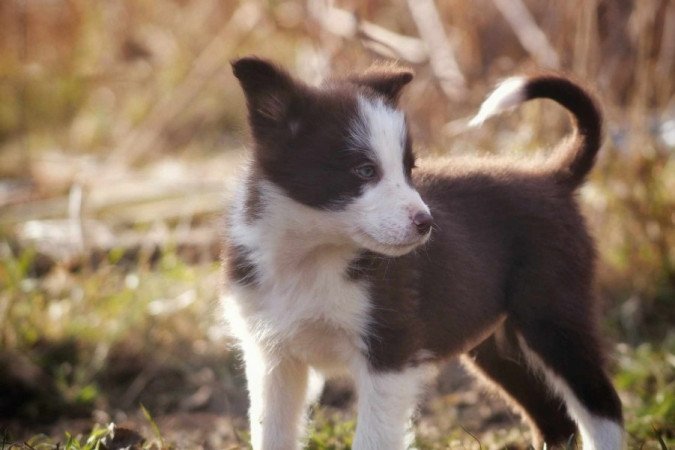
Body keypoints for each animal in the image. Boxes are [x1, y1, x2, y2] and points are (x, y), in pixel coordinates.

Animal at [224, 57, 624, 450]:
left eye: (409, 169)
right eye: (364, 170)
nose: (427, 223)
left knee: (602, 406)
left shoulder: (390, 353)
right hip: (495, 343)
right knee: (555, 420)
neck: (310, 257)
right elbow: (270, 433)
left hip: (553, 317)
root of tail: (552, 177)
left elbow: (372, 439)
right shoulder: (272, 358)